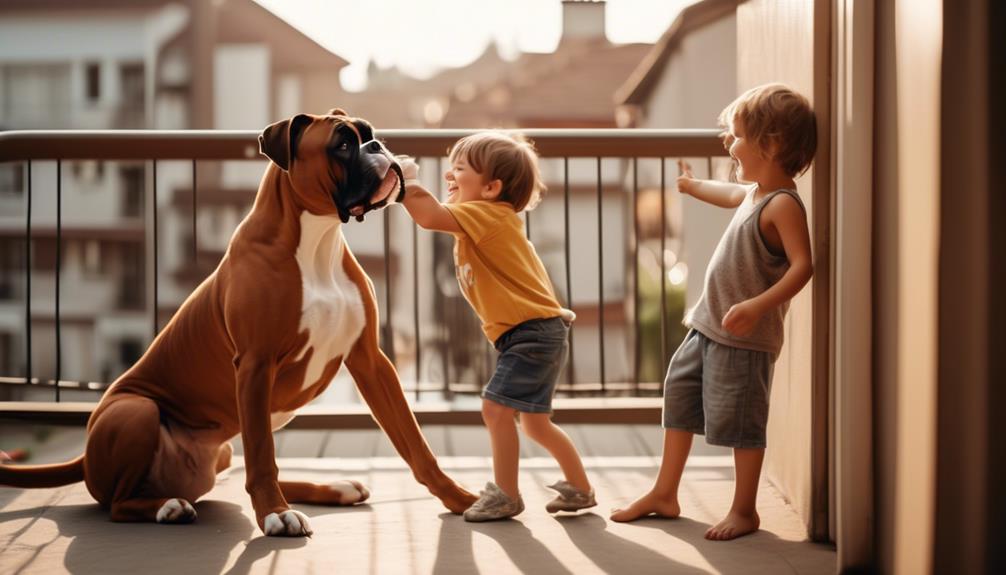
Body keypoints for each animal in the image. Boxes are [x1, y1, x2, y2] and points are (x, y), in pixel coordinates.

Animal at [0, 110, 474, 538]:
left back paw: (332, 488)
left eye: (369, 134)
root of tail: (85, 458)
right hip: (135, 410)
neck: (316, 239)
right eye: (341, 144)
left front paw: (461, 499)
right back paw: (169, 507)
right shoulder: (255, 365)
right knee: (118, 504)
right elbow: (263, 454)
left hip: (222, 451)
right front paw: (275, 515)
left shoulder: (371, 361)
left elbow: (415, 444)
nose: (378, 147)